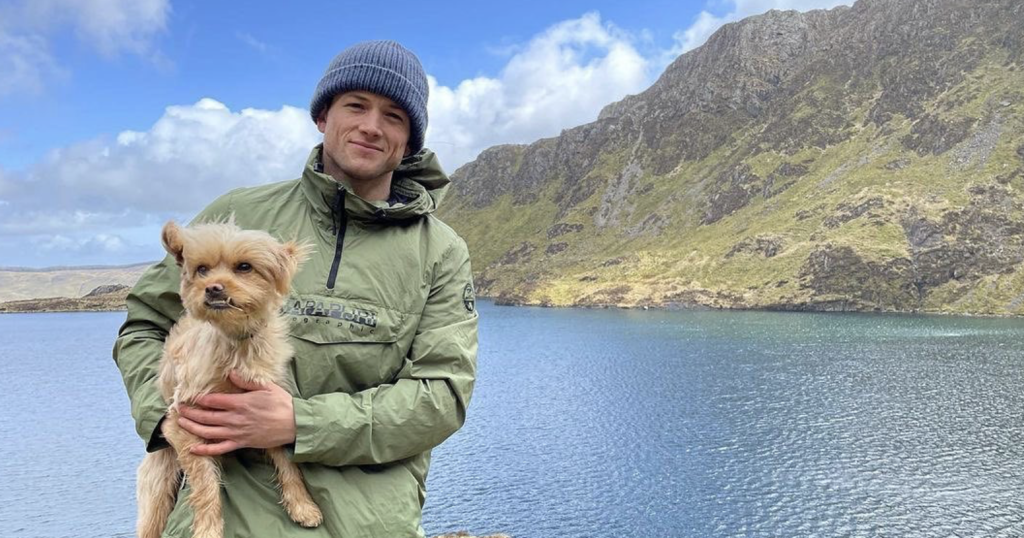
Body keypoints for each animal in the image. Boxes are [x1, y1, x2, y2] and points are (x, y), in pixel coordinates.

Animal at [136, 219, 319, 536]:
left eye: (244, 267)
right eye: (202, 269)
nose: (212, 288)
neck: (237, 343)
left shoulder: (269, 410)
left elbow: (287, 461)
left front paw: (302, 504)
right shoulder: (182, 424)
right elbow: (206, 485)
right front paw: (208, 530)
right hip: (157, 488)